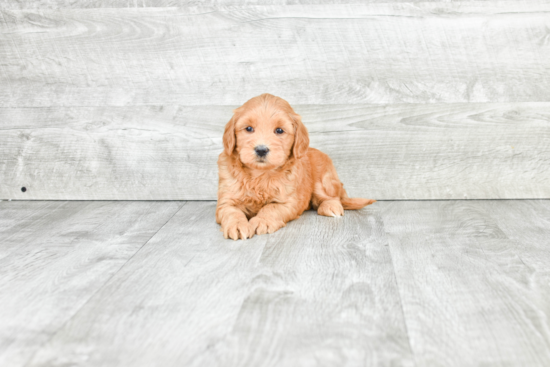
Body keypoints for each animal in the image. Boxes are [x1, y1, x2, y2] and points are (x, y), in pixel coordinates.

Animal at [218, 93, 378, 240]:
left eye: (279, 130)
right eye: (249, 128)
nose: (261, 150)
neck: (260, 174)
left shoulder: (288, 202)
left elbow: (271, 207)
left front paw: (261, 221)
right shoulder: (226, 200)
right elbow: (231, 212)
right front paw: (238, 225)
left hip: (323, 180)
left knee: (332, 197)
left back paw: (331, 207)